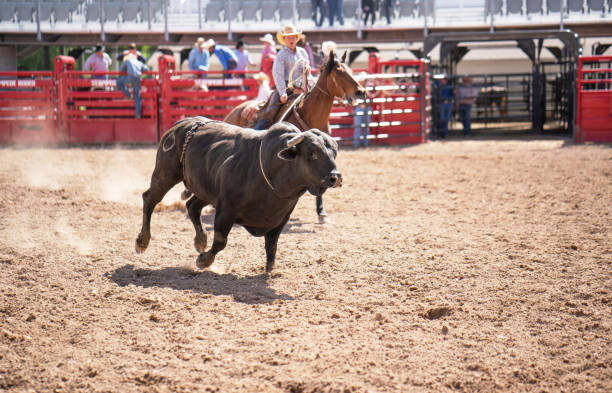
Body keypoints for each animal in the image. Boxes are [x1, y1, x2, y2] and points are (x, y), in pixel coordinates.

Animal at [135, 115, 344, 272]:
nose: (335, 177)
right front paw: (203, 261)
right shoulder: (226, 209)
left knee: (192, 207)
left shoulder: (280, 219)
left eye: (334, 153)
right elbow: (220, 241)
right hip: (165, 174)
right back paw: (142, 241)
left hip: (204, 189)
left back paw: (201, 240)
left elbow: (272, 246)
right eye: (312, 153)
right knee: (150, 199)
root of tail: (182, 124)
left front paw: (270, 271)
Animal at [225, 50, 368, 222]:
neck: (310, 116)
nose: (361, 92)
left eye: (351, 70)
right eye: (339, 72)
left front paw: (321, 212)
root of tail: (235, 110)